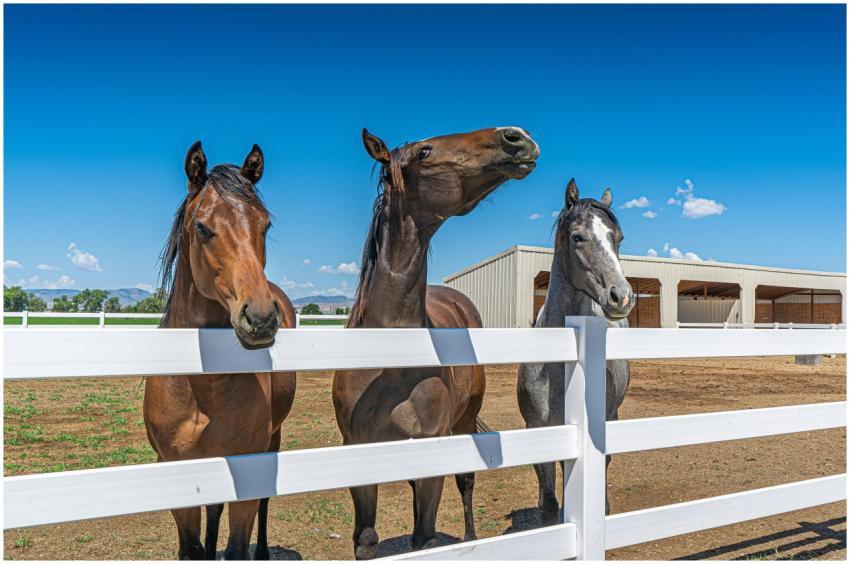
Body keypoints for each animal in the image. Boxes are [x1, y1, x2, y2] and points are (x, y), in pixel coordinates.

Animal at [143, 142, 297, 560]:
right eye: (201, 226)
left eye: (265, 225)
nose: (261, 318)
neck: (202, 387)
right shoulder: (178, 474)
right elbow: (193, 548)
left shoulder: (247, 466)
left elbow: (238, 543)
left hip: (272, 439)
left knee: (263, 504)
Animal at [333, 127, 540, 559]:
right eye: (424, 152)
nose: (516, 137)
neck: (389, 368)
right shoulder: (358, 454)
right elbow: (366, 540)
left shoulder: (436, 446)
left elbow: (425, 537)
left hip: (462, 424)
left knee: (465, 482)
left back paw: (472, 538)